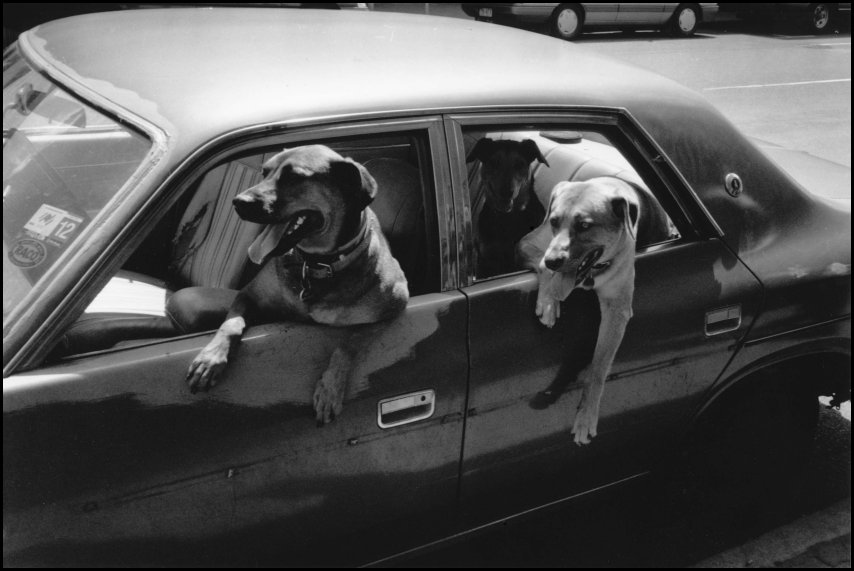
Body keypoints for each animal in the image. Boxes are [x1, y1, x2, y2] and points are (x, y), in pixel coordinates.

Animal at [176, 146, 410, 424]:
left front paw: (330, 388)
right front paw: (210, 358)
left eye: (294, 177)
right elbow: (231, 325)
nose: (238, 202)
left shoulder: (392, 309)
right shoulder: (248, 295)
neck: (316, 264)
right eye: (265, 172)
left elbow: (347, 345)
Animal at [520, 177, 672, 444]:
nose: (553, 261)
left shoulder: (616, 311)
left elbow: (598, 369)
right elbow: (541, 263)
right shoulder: (530, 244)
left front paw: (586, 417)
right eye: (554, 221)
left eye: (584, 225)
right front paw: (548, 301)